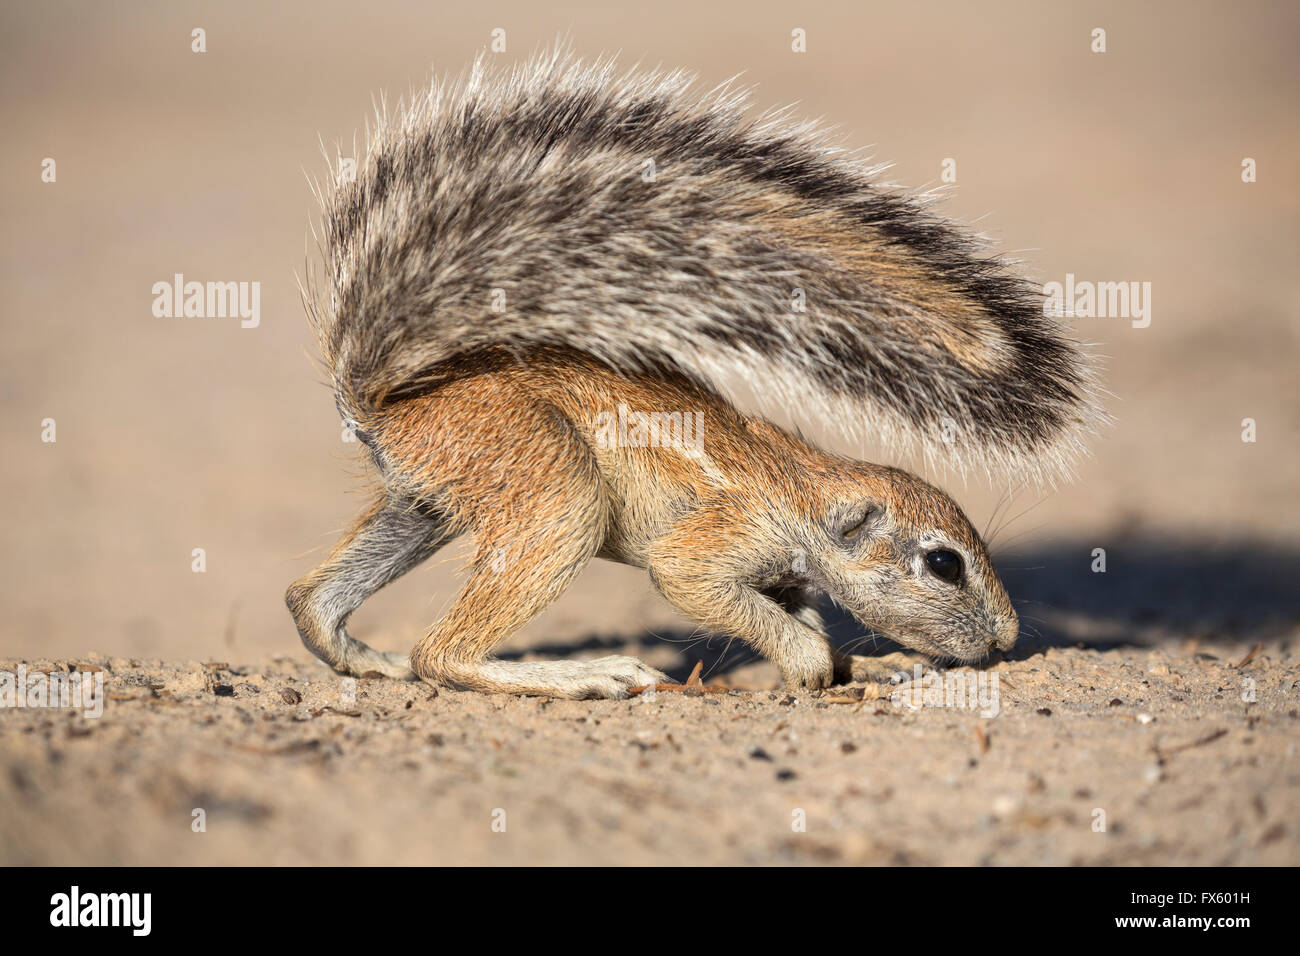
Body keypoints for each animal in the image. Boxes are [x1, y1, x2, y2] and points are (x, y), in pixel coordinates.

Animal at [284, 48, 1097, 697]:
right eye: (944, 564)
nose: (1007, 640)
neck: (807, 494)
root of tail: (382, 396)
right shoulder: (715, 543)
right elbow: (703, 587)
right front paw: (811, 669)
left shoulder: (785, 577)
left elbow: (802, 613)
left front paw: (857, 663)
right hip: (554, 490)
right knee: (441, 653)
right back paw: (585, 675)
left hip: (424, 503)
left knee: (308, 598)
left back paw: (365, 658)